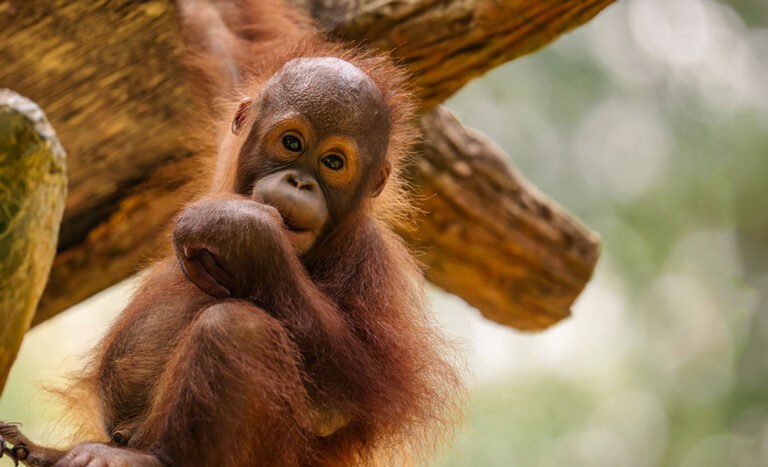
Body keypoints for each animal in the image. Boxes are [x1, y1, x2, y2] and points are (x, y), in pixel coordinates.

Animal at [0, 2, 463, 466]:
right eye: (292, 142)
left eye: (333, 163)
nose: (300, 182)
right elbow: (226, 41)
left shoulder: (371, 262)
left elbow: (353, 394)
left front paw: (242, 231)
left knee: (236, 325)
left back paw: (151, 457)